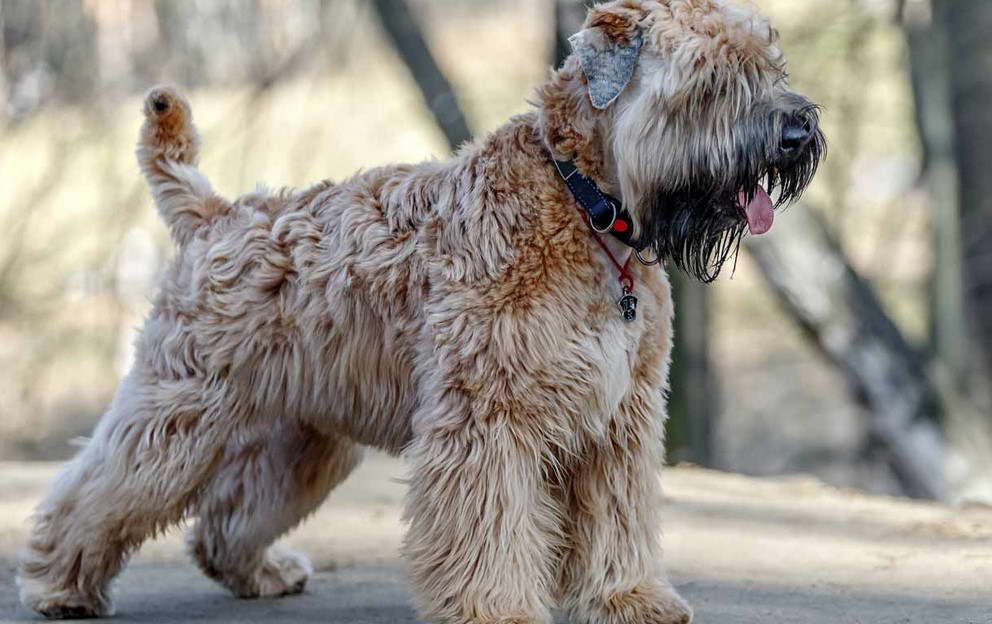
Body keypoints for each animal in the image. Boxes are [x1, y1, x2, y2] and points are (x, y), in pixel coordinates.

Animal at [17, 2, 820, 620]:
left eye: (770, 66)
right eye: (712, 78)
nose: (800, 131)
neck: (585, 207)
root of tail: (214, 215)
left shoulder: (618, 419)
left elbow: (616, 517)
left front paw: (628, 598)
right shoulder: (488, 418)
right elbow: (488, 528)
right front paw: (496, 610)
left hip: (302, 436)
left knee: (227, 517)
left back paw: (261, 573)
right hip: (179, 413)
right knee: (98, 490)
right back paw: (58, 584)